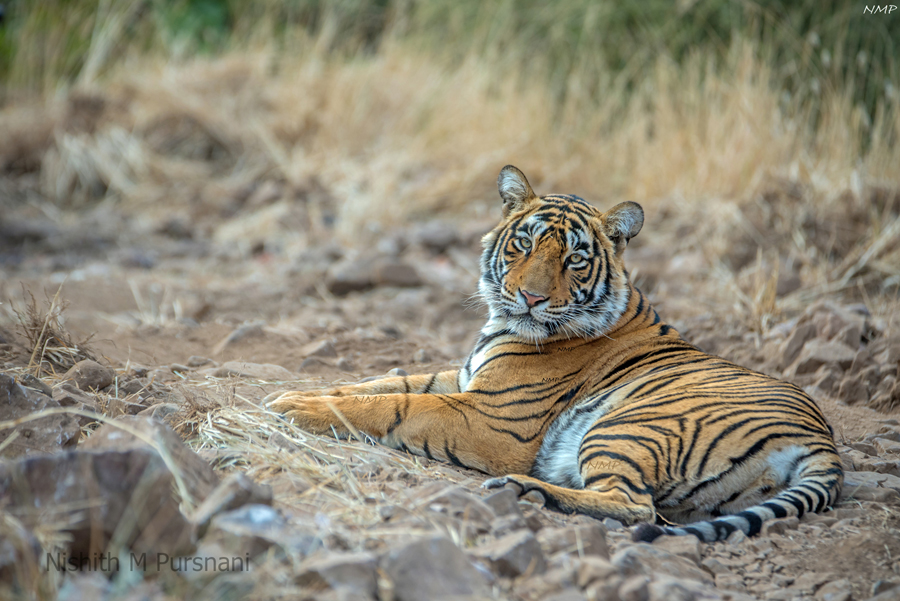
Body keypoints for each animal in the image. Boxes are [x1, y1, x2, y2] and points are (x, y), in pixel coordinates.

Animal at [268, 165, 843, 542]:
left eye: (574, 259)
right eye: (524, 244)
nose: (531, 298)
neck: (501, 325)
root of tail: (821, 438)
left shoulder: (493, 418)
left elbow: (395, 404)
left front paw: (295, 409)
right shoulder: (464, 378)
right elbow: (382, 382)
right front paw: (299, 393)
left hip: (631, 424)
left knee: (635, 508)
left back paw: (526, 490)